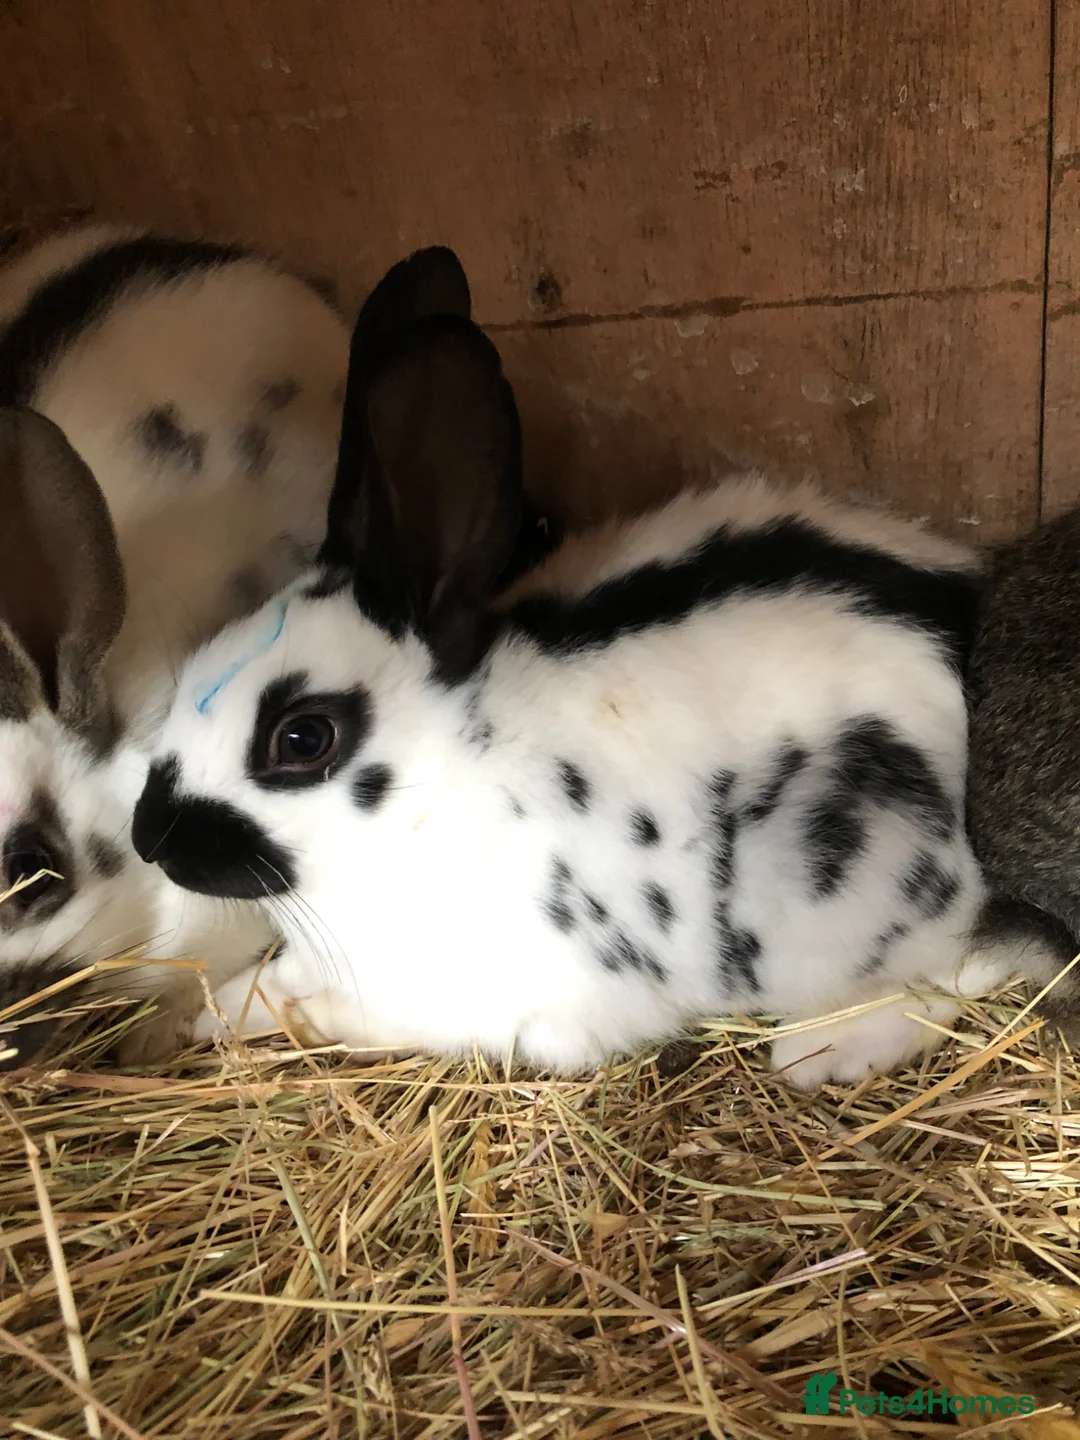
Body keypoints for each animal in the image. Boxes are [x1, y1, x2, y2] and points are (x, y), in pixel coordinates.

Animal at [128, 244, 1038, 1090]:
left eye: (303, 738)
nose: (149, 838)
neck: (443, 778)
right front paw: (208, 1016)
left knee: (962, 969)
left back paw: (823, 1046)